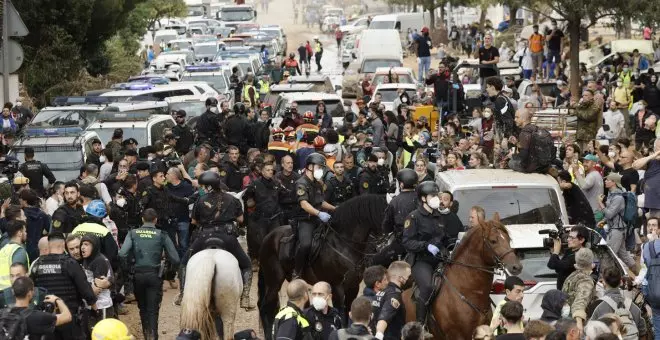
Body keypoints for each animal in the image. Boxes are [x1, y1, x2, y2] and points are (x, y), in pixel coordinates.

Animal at [255, 193, 384, 338]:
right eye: (383, 212)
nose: (379, 246)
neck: (342, 243)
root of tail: (267, 238)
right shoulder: (337, 286)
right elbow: (342, 315)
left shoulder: (353, 286)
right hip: (274, 281)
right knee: (265, 307)